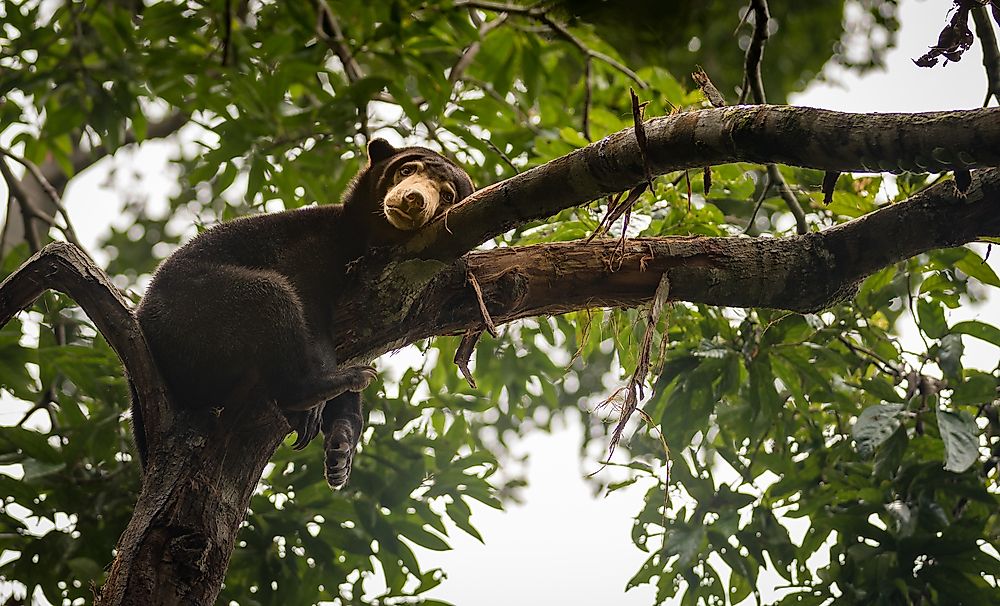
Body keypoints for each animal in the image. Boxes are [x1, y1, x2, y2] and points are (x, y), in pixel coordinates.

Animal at [132, 139, 472, 490]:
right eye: (406, 170)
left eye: (447, 195)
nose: (414, 199)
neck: (364, 239)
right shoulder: (310, 248)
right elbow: (309, 311)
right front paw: (323, 401)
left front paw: (342, 446)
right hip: (193, 306)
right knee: (270, 296)